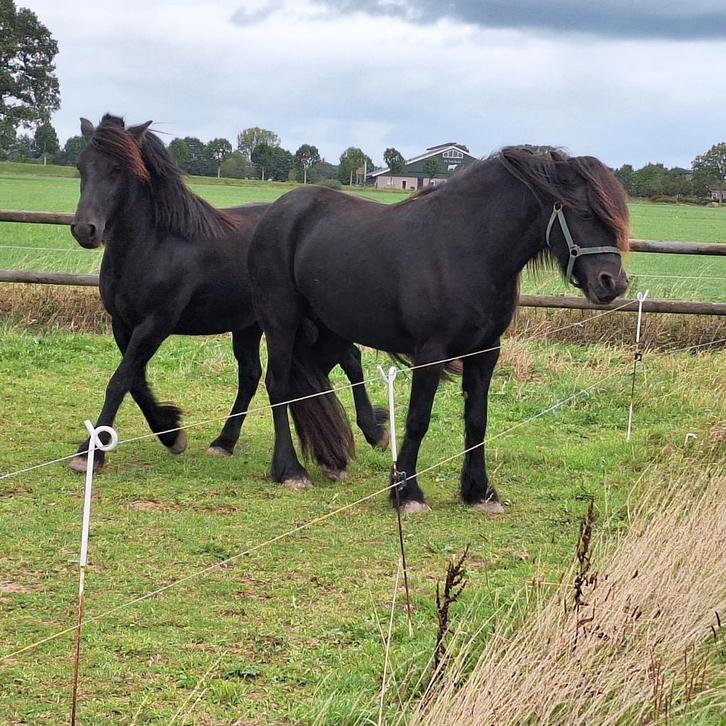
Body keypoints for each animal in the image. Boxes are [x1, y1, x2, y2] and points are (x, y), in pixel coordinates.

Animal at [69, 114, 388, 475]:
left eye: (117, 169)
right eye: (81, 166)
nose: (85, 229)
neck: (155, 245)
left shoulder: (155, 324)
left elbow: (120, 380)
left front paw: (90, 453)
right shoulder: (123, 324)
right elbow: (134, 381)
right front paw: (170, 432)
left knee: (351, 360)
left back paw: (375, 432)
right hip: (251, 325)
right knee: (252, 375)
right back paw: (224, 441)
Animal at [247, 147, 630, 511]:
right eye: (584, 212)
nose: (612, 283)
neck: (466, 249)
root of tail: (277, 211)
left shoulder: (486, 352)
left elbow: (477, 420)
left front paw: (479, 492)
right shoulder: (430, 353)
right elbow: (418, 419)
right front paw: (407, 493)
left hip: (330, 330)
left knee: (314, 381)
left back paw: (332, 458)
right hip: (282, 321)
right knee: (279, 386)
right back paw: (290, 470)